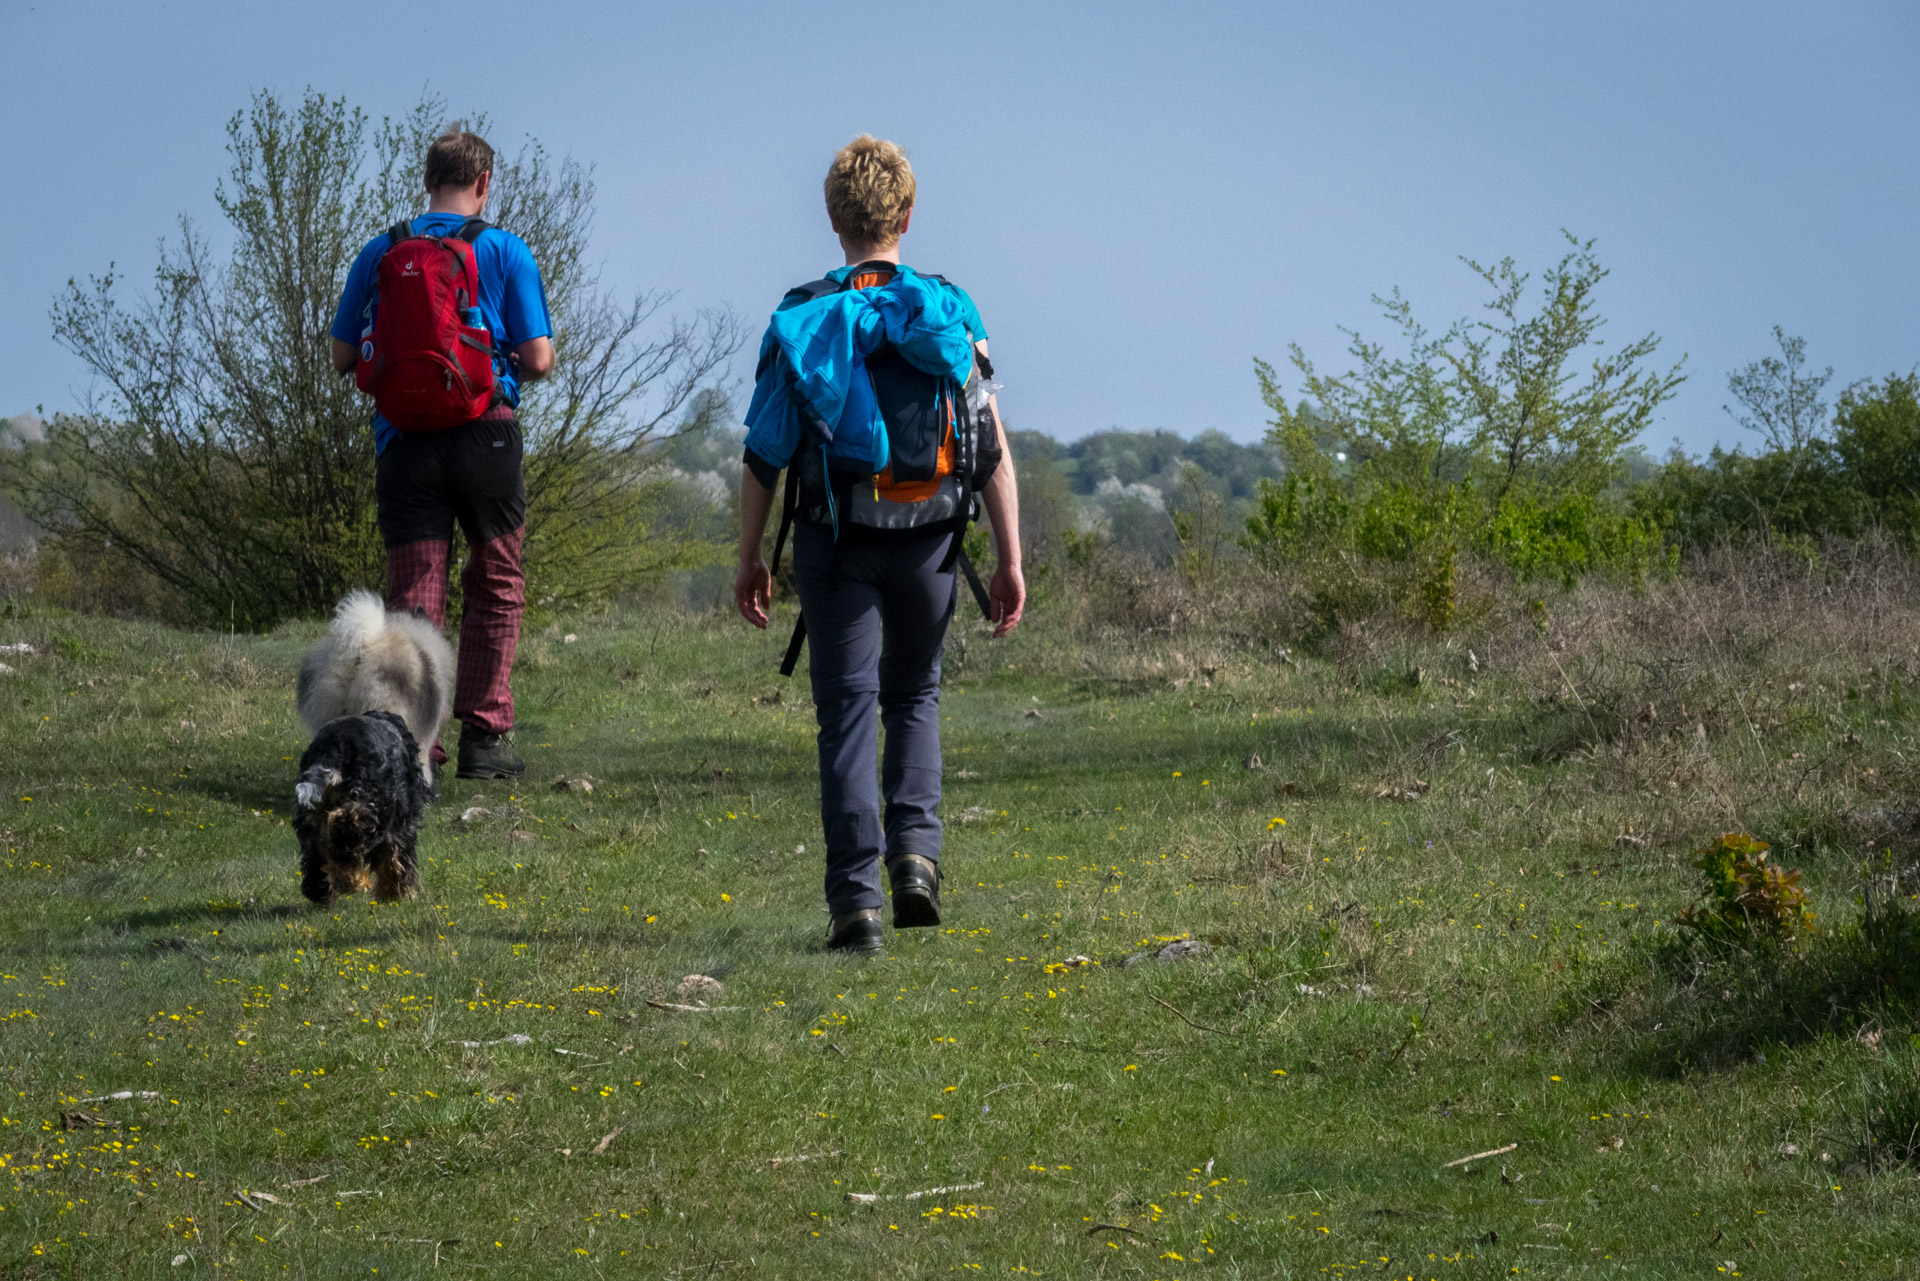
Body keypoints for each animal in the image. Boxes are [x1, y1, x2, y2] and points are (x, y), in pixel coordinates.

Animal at [295, 710, 428, 902]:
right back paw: (351, 881)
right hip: (368, 808)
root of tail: (334, 748)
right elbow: (396, 860)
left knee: (315, 855)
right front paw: (395, 893)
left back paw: (319, 890)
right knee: (345, 830)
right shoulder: (400, 824)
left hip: (310, 818)